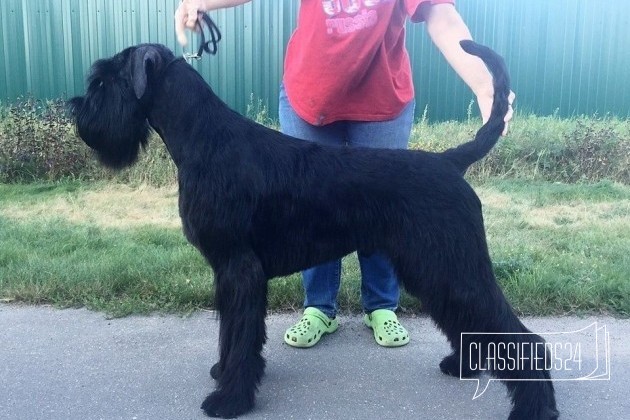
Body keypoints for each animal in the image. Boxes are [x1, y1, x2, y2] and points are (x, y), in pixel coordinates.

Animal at [71, 40, 560, 420]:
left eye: (104, 81)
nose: (75, 110)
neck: (204, 139)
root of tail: (449, 162)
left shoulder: (238, 267)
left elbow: (239, 332)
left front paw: (229, 399)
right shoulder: (229, 273)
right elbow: (233, 333)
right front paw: (226, 374)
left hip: (452, 265)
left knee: (521, 336)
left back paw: (534, 407)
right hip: (435, 269)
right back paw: (462, 365)